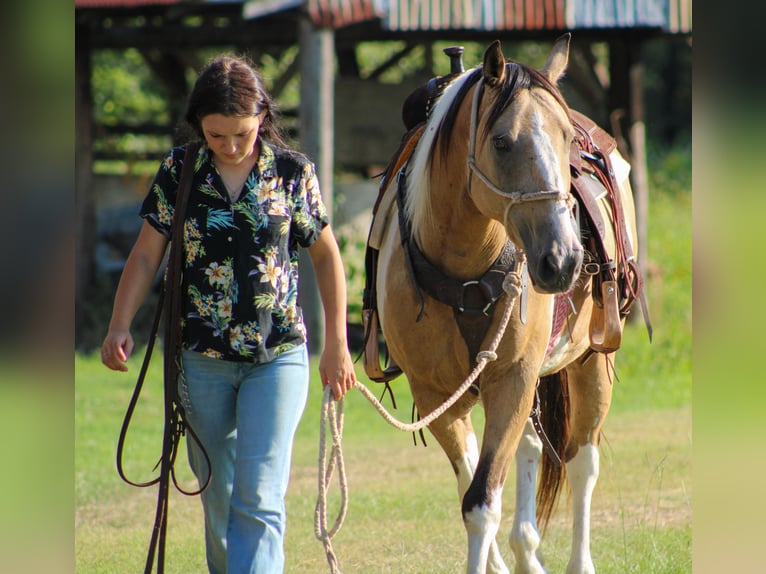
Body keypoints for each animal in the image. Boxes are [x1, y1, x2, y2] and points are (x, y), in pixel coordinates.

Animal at [365, 34, 646, 574]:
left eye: (566, 138)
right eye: (501, 142)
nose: (563, 259)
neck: (465, 270)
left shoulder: (512, 378)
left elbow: (482, 499)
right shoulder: (436, 397)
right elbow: (471, 488)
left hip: (590, 359)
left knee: (582, 462)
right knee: (531, 448)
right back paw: (526, 551)